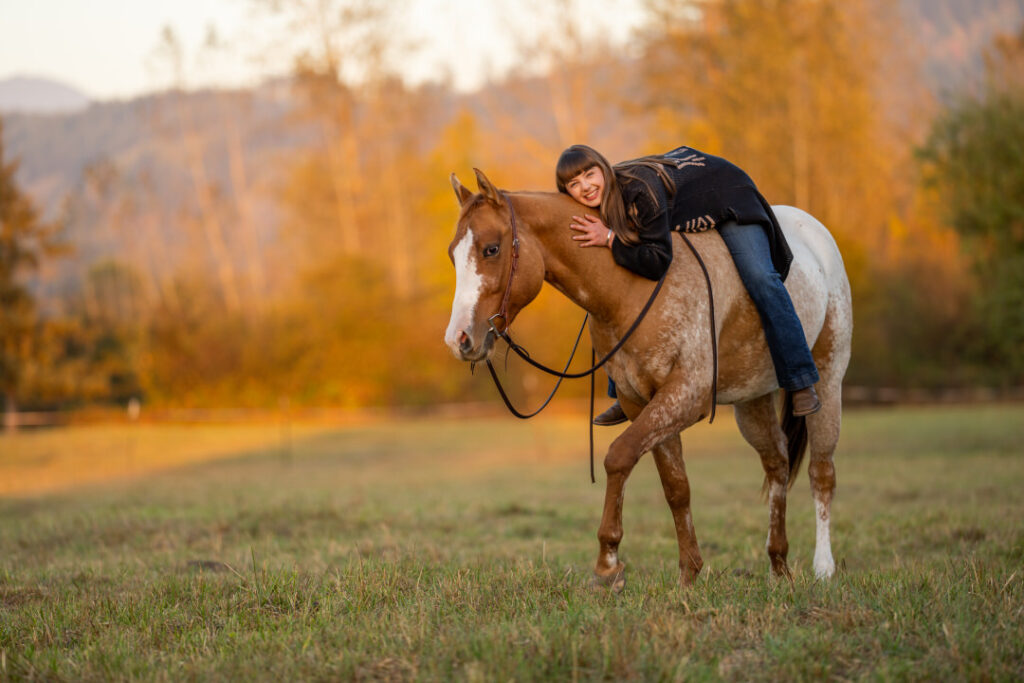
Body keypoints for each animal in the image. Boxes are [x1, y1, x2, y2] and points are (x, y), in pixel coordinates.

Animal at [444, 169, 851, 589]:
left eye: (491, 249)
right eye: (453, 254)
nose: (460, 339)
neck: (632, 285)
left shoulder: (685, 396)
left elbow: (619, 456)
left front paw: (607, 564)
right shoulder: (642, 401)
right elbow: (676, 487)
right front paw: (689, 574)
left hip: (828, 378)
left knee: (821, 472)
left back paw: (823, 567)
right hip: (751, 400)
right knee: (777, 465)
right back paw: (779, 564)